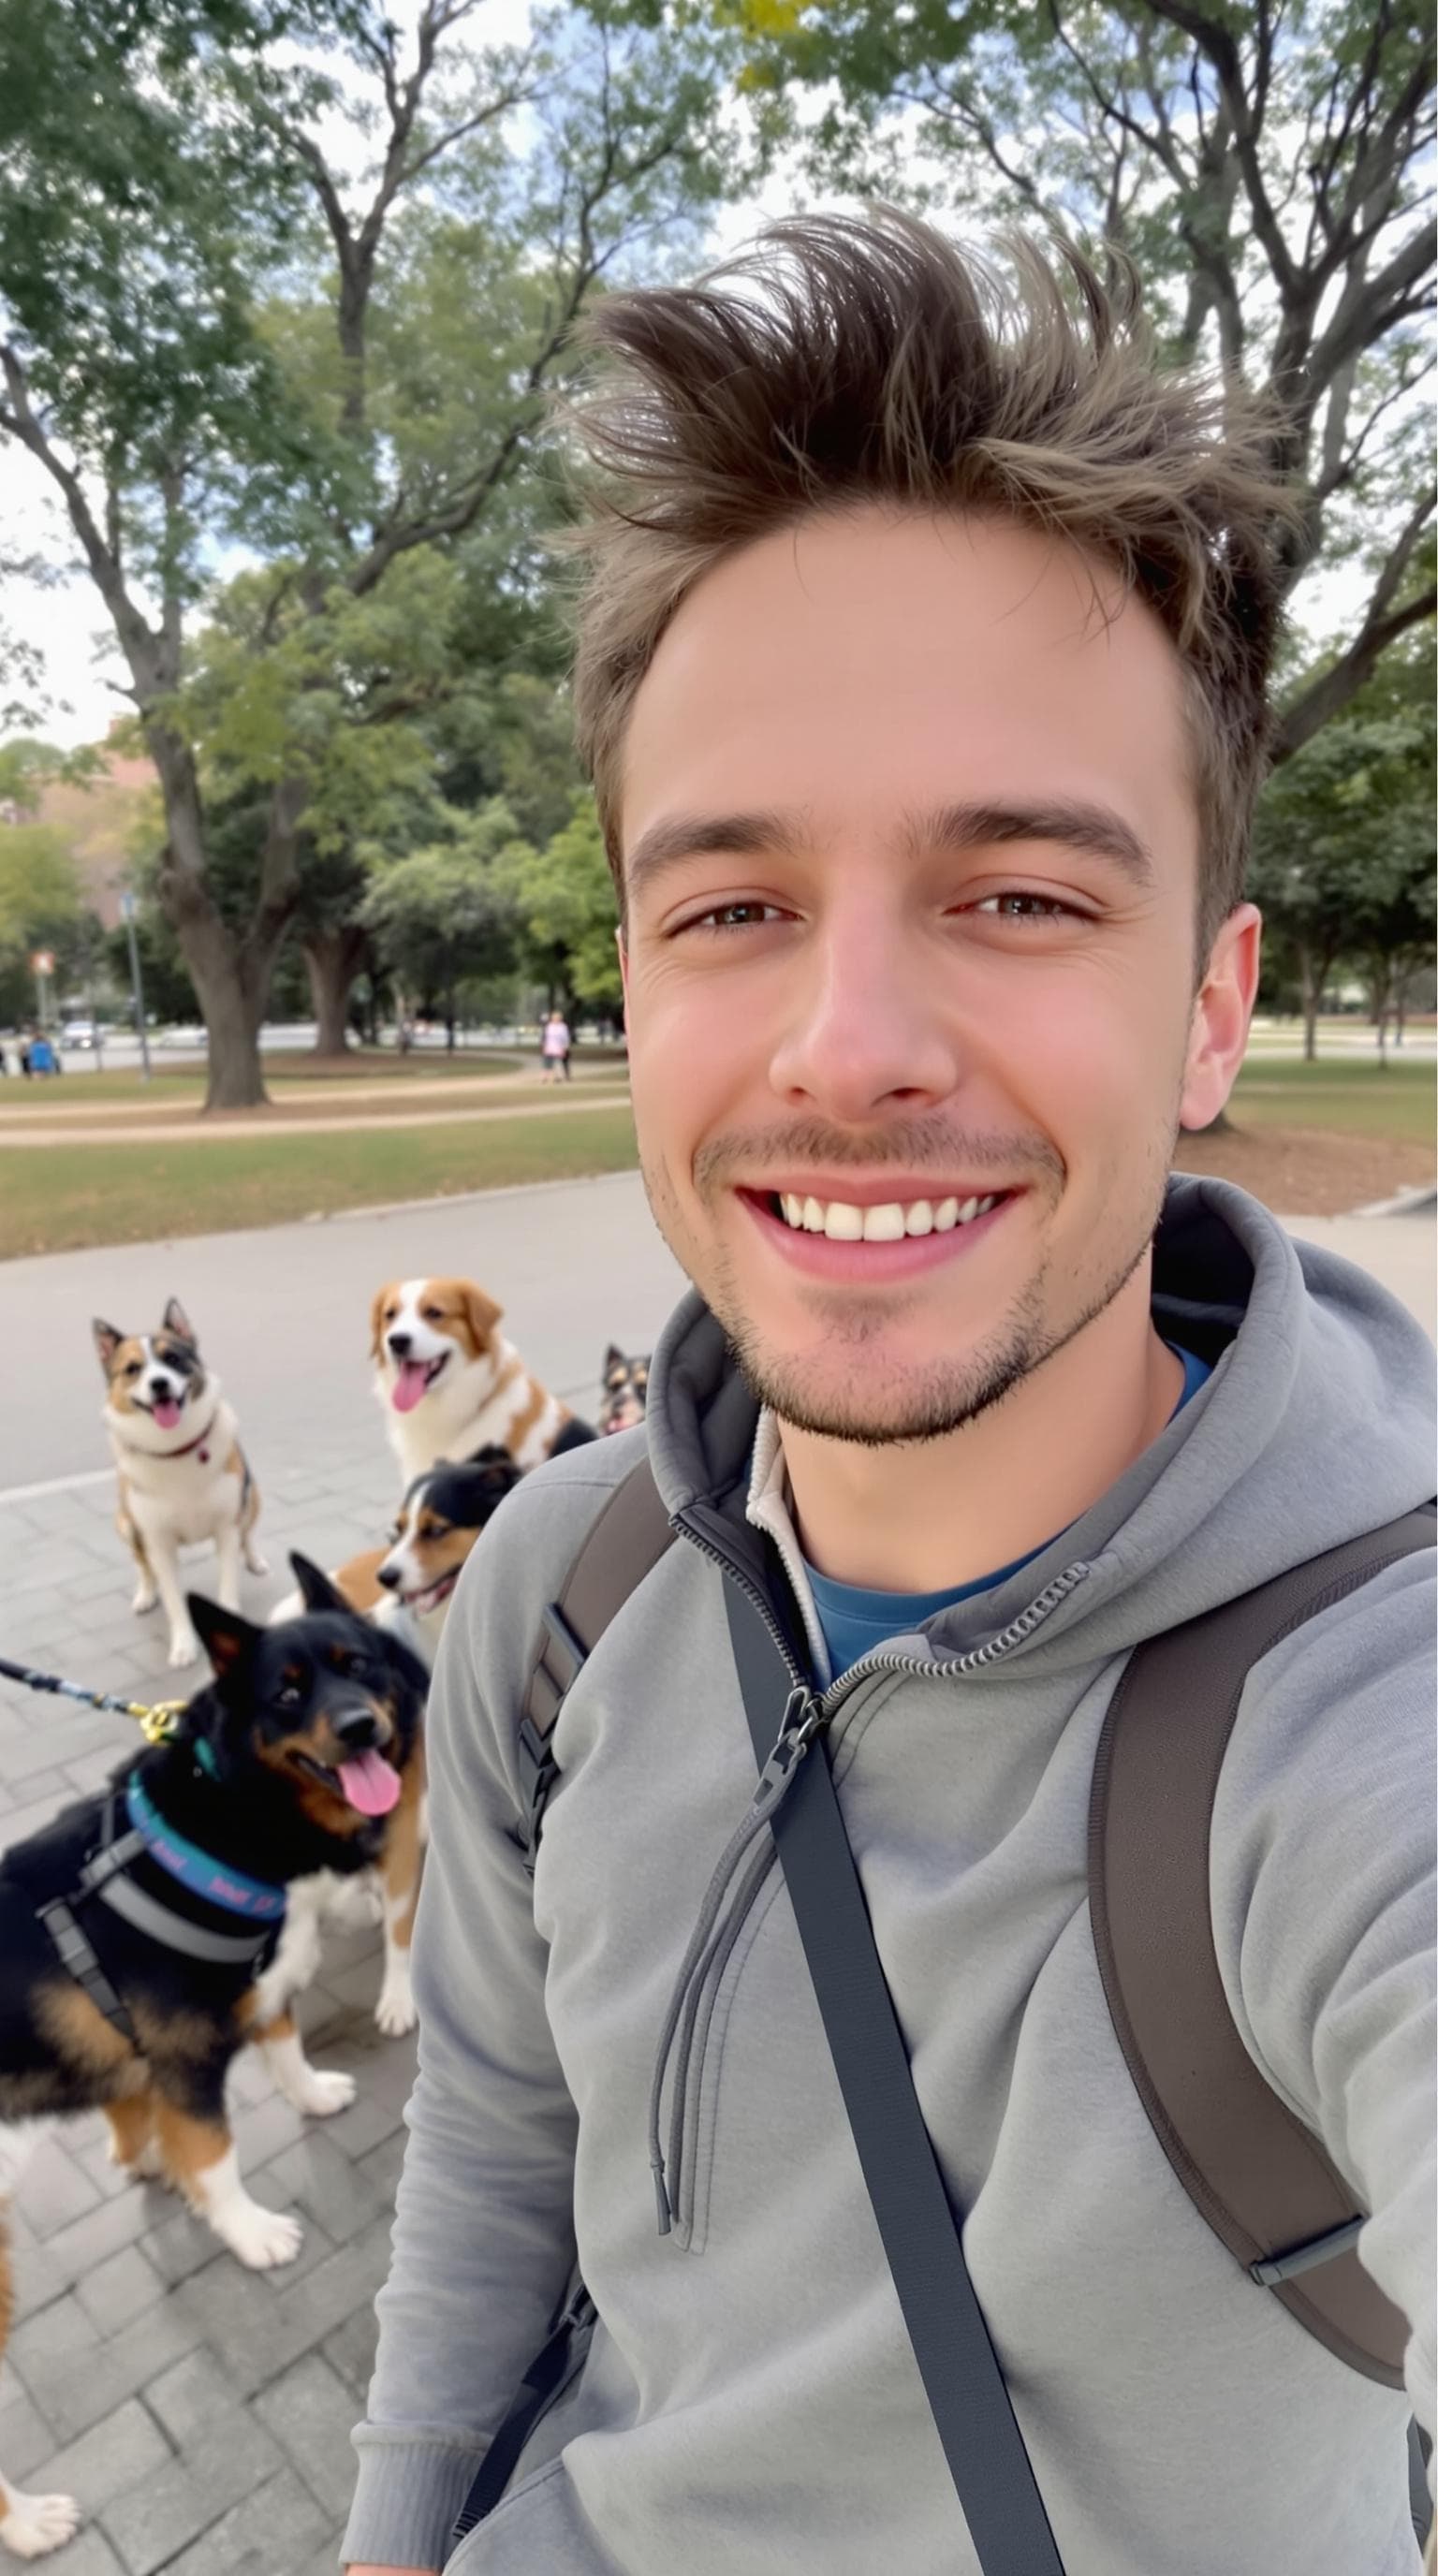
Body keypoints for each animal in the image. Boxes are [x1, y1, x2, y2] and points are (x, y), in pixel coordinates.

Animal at [0, 1566, 425, 2554]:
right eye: (287, 1694)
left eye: (359, 1665)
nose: (362, 1728)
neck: (220, 1815)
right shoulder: (185, 2054)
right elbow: (216, 2154)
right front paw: (248, 2231)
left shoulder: (253, 1989)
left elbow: (284, 2047)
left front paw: (309, 2098)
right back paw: (30, 2525)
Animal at [95, 1298, 268, 1679]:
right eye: (132, 1369)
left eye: (172, 1358)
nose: (159, 1384)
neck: (176, 1450)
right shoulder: (158, 1541)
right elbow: (174, 1600)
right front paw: (184, 1647)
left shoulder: (226, 1525)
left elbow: (229, 1577)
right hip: (125, 1523)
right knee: (142, 1564)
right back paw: (146, 1594)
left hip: (252, 1496)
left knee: (248, 1534)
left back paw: (255, 1560)